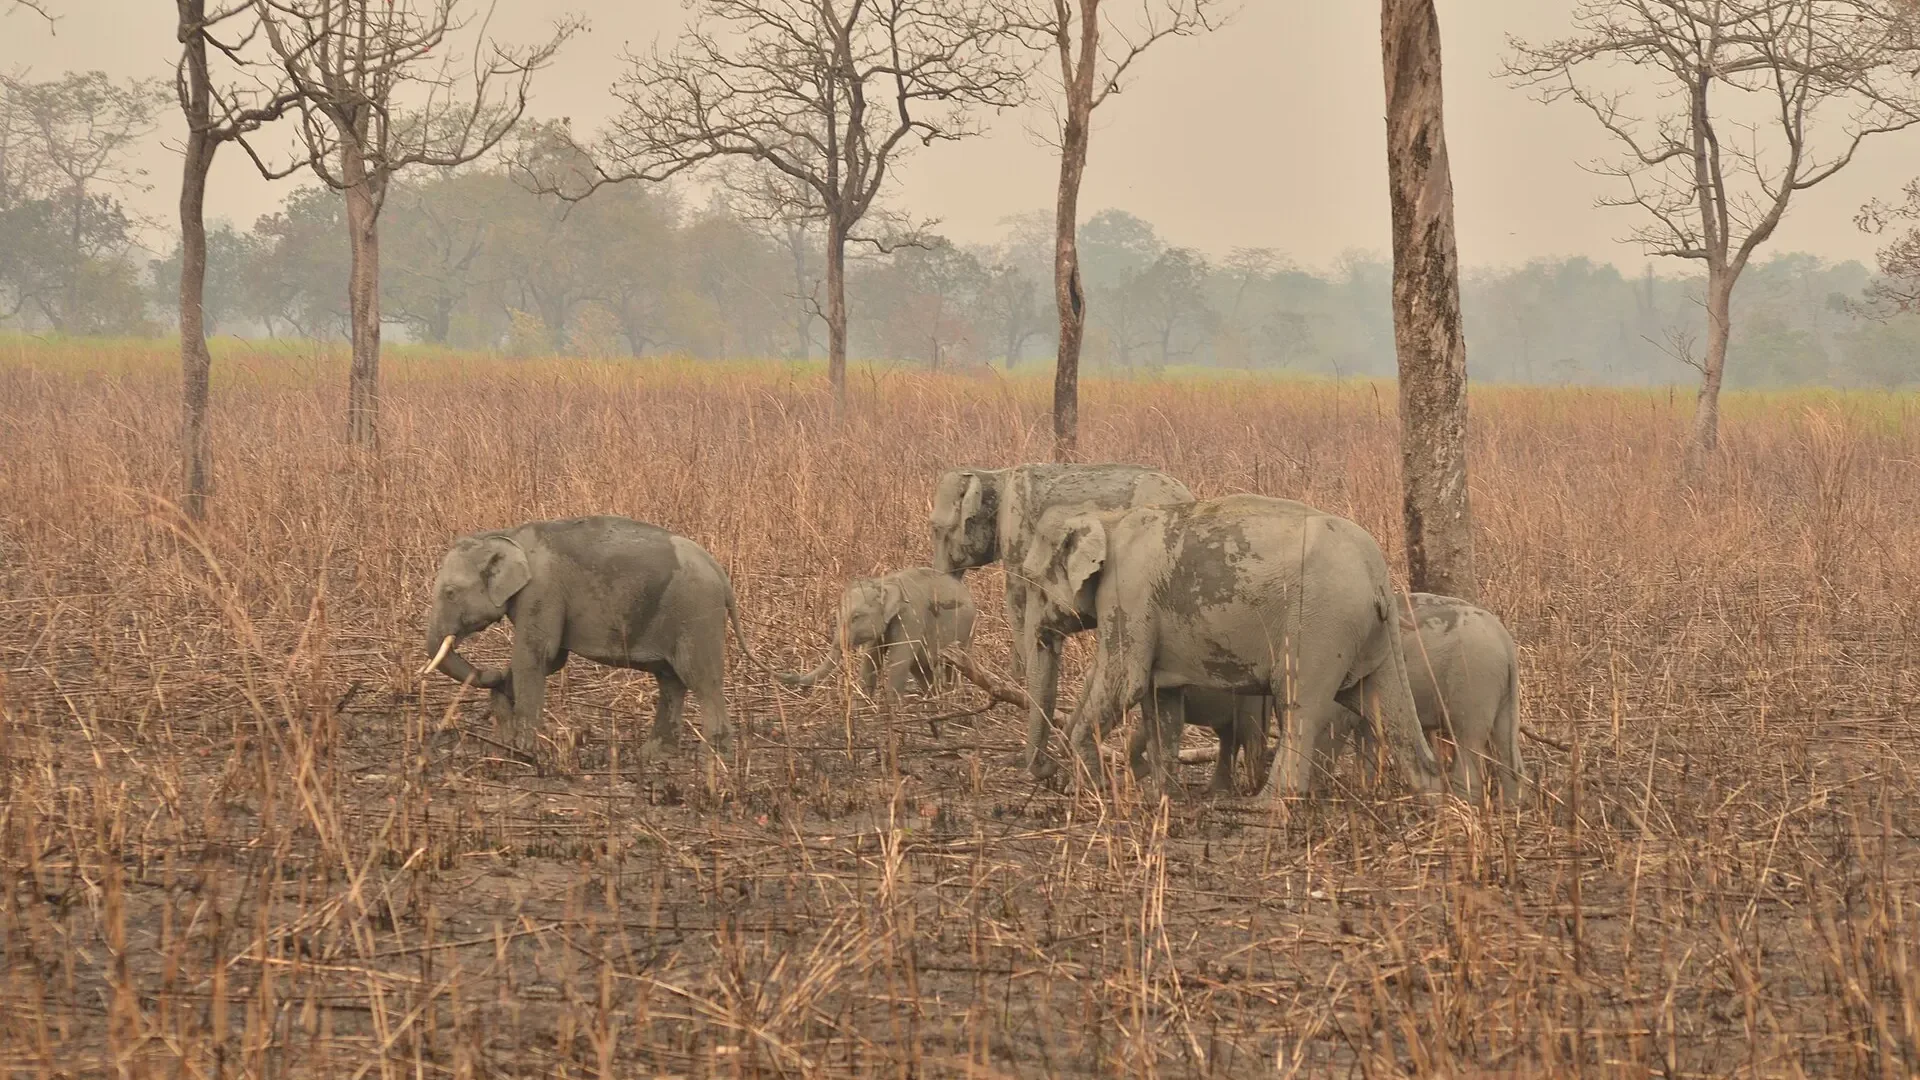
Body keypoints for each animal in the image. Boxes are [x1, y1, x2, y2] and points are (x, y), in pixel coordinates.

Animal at [418, 515, 768, 758]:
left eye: (449, 593)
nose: (491, 673)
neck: (508, 534)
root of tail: (720, 574)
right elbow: (552, 660)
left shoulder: (542, 591)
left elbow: (537, 654)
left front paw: (525, 750)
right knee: (670, 681)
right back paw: (655, 755)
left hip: (696, 614)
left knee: (701, 679)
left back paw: (714, 759)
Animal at [778, 567, 977, 697]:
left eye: (856, 617)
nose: (783, 673)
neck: (886, 583)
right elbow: (871, 660)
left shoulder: (911, 617)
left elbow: (898, 661)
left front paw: (891, 715)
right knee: (920, 667)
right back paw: (934, 702)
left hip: (966, 632)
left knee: (952, 668)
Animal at [1018, 494, 1445, 798]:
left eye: (1030, 580)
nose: (1044, 772)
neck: (1106, 518)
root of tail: (1378, 574)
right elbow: (1161, 700)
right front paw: (1160, 798)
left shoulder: (1130, 591)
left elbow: (1128, 683)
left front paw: (1085, 792)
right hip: (1370, 634)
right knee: (1381, 702)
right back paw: (1432, 798)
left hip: (1321, 623)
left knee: (1299, 704)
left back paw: (1269, 805)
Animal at [1322, 592, 1527, 803]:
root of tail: (1506, 641)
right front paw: (1367, 794)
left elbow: (1336, 723)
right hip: (1499, 687)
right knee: (1505, 744)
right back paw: (1513, 806)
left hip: (1474, 679)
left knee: (1467, 740)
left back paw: (1462, 803)